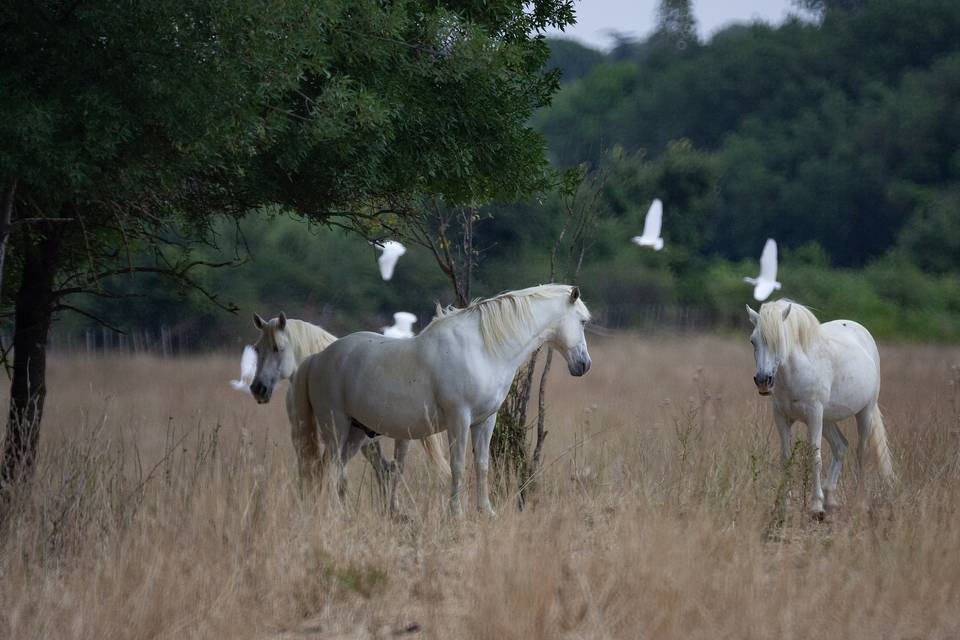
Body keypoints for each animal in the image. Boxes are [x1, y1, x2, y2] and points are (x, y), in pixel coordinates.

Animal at [292, 284, 592, 516]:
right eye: (583, 321)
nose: (584, 365)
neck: (482, 349)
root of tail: (317, 358)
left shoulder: (485, 420)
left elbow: (482, 465)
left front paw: (486, 512)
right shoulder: (459, 419)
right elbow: (457, 467)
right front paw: (455, 514)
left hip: (356, 433)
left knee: (332, 470)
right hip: (336, 427)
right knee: (330, 469)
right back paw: (335, 513)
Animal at [748, 298, 896, 516]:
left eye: (780, 339)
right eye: (753, 341)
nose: (763, 381)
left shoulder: (814, 415)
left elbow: (815, 457)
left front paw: (816, 506)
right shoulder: (781, 417)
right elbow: (785, 458)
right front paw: (785, 504)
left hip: (864, 413)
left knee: (861, 452)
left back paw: (860, 500)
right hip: (828, 420)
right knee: (841, 447)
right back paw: (830, 497)